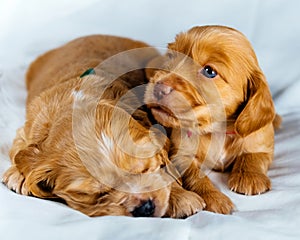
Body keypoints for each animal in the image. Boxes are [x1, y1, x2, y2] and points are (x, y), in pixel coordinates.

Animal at [1, 35, 204, 218]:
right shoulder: (29, 126)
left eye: (146, 168)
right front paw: (18, 174)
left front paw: (182, 197)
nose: (144, 207)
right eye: (96, 194)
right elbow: (20, 149)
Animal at [145, 25, 282, 214]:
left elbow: (253, 156)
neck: (217, 130)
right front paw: (214, 197)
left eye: (209, 71)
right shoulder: (181, 156)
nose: (159, 87)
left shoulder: (260, 142)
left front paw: (250, 177)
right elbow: (195, 175)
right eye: (171, 57)